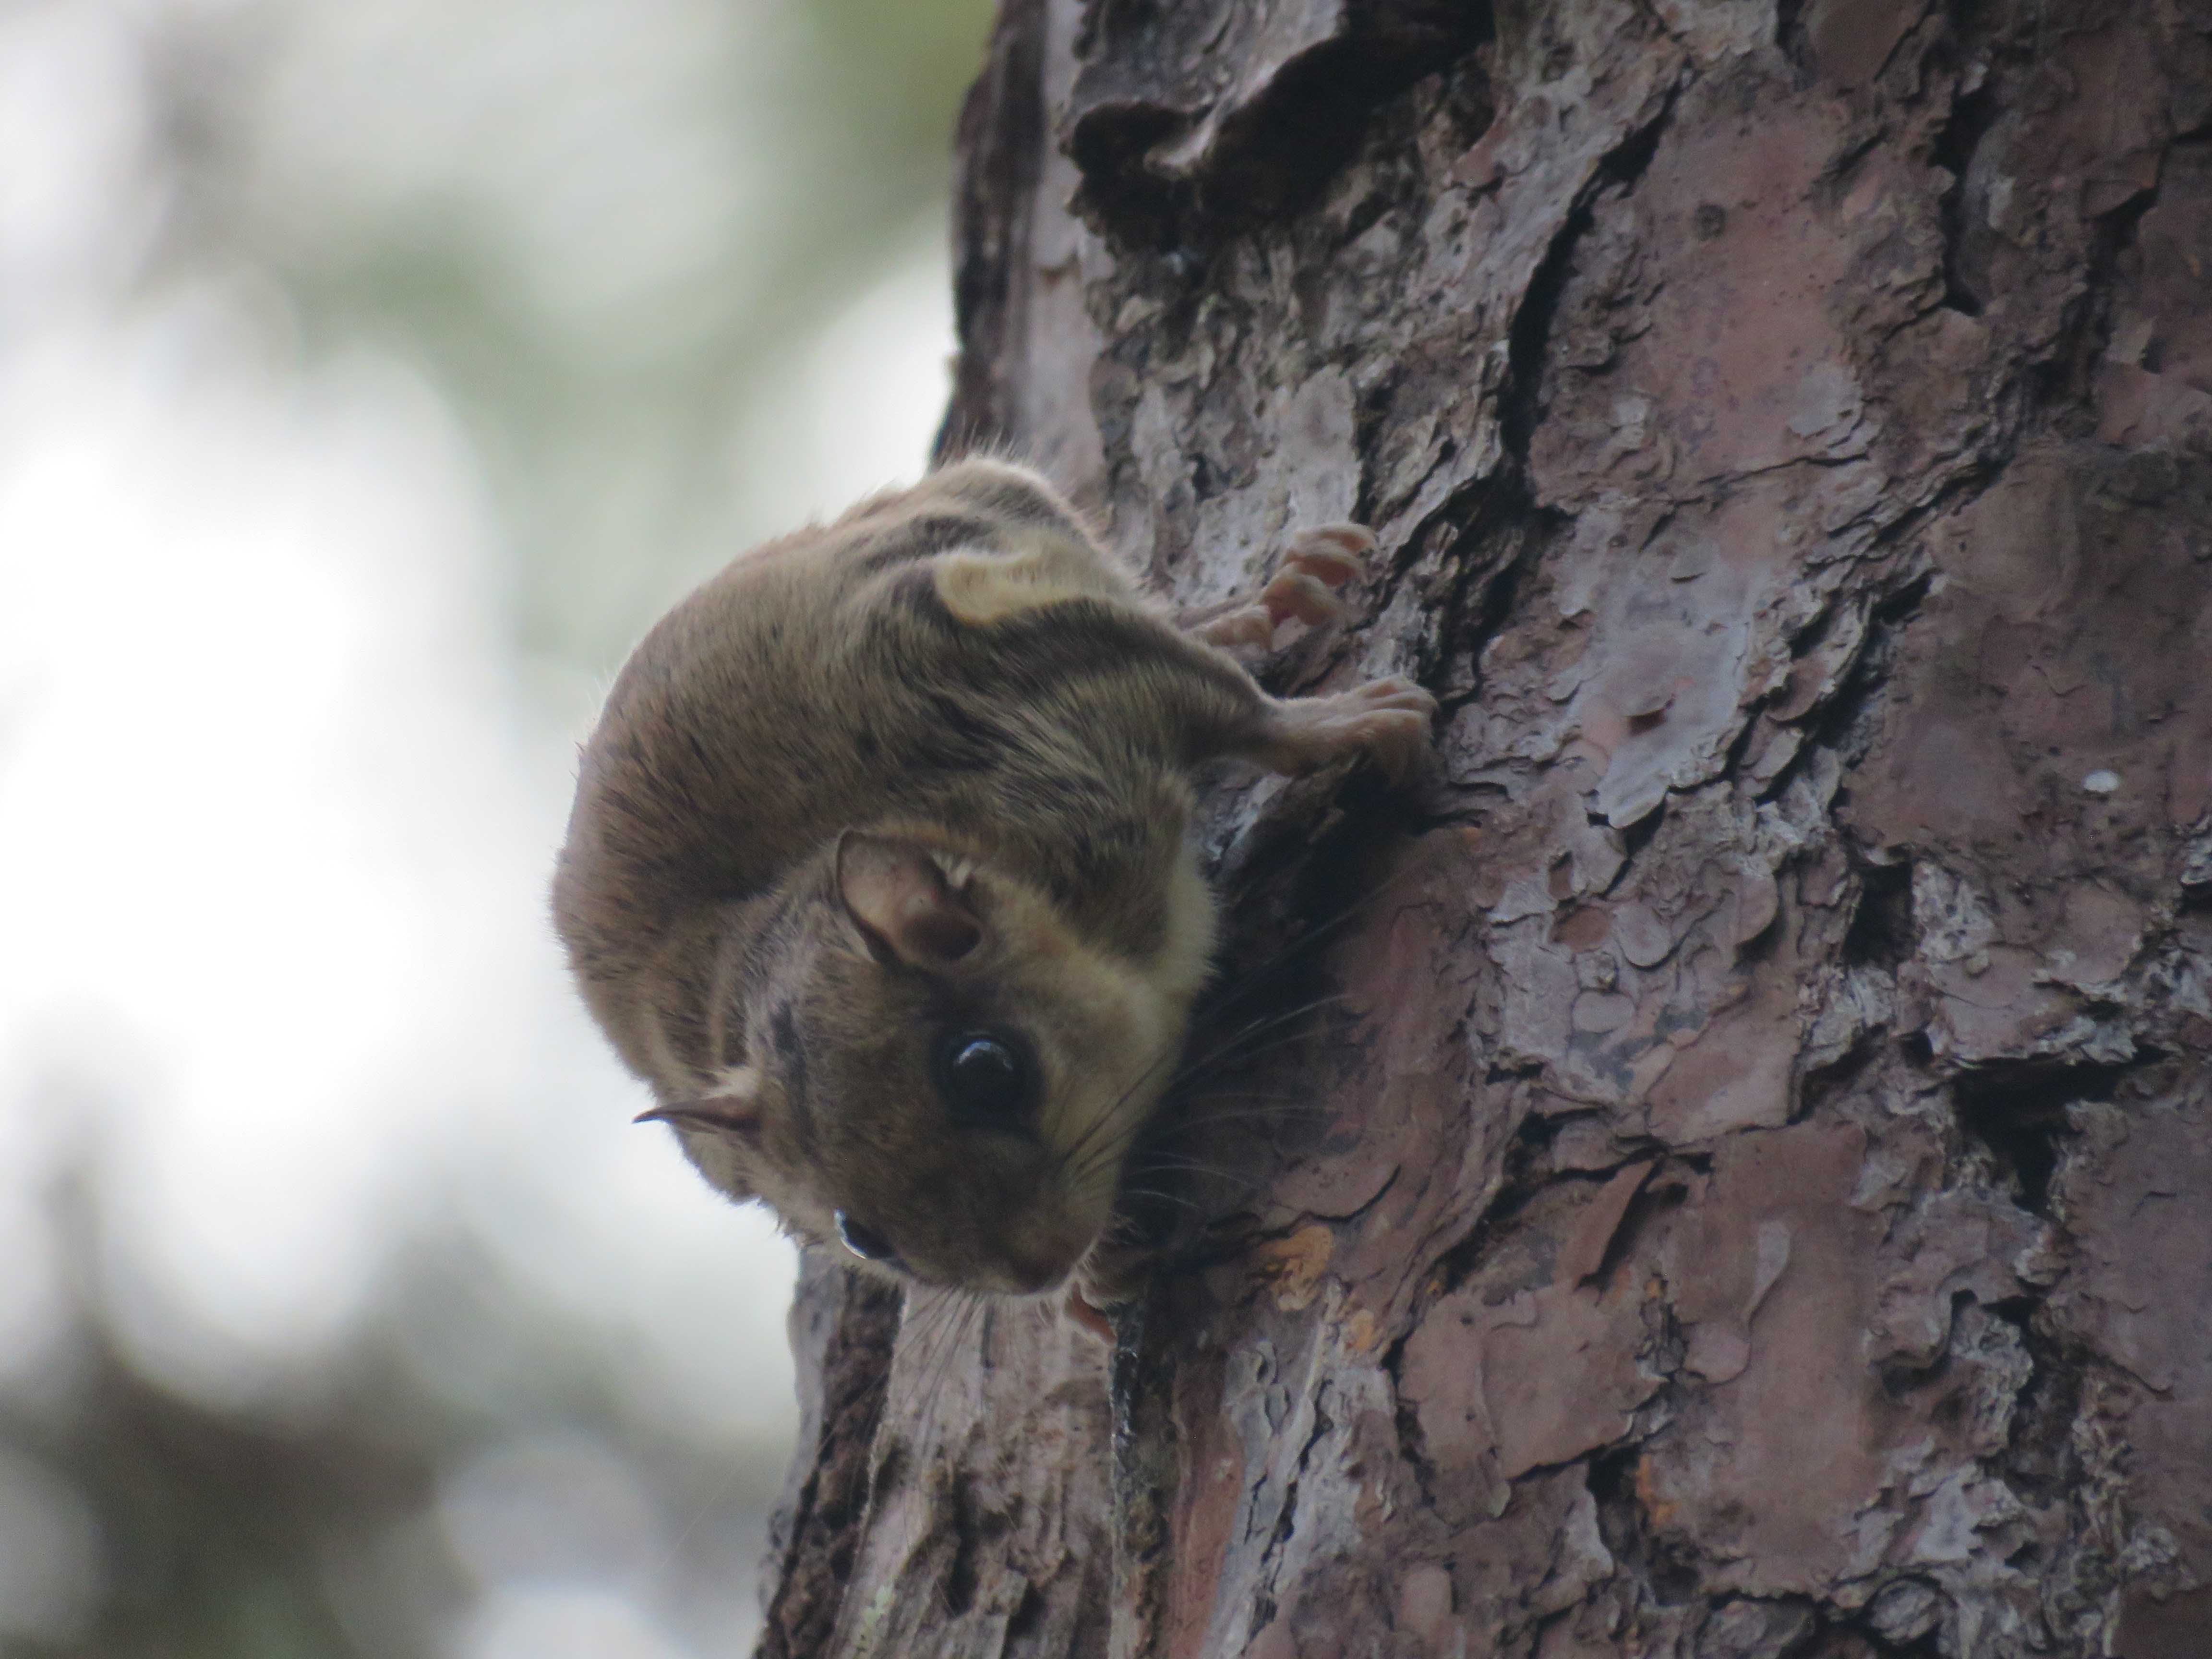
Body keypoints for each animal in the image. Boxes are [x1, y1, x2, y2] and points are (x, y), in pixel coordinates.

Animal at [544, 457, 1424, 1336]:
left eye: (987, 1070)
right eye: (860, 1235)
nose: (1041, 1266)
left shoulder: (1073, 708)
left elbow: (1240, 714)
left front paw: (1344, 723)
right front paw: (1094, 1281)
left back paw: (1261, 600)